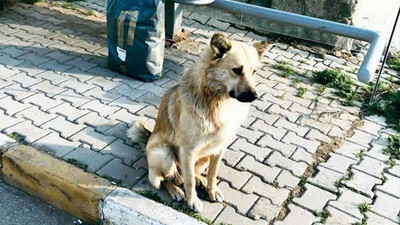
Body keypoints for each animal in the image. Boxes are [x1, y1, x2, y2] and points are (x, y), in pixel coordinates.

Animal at [128, 32, 270, 212]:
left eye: (254, 71)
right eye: (237, 70)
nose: (254, 96)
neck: (218, 101)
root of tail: (147, 142)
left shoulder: (219, 149)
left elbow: (212, 174)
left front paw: (211, 189)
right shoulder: (188, 151)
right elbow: (188, 182)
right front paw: (192, 200)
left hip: (204, 157)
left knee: (186, 174)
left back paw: (200, 181)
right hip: (165, 153)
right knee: (164, 178)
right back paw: (175, 190)